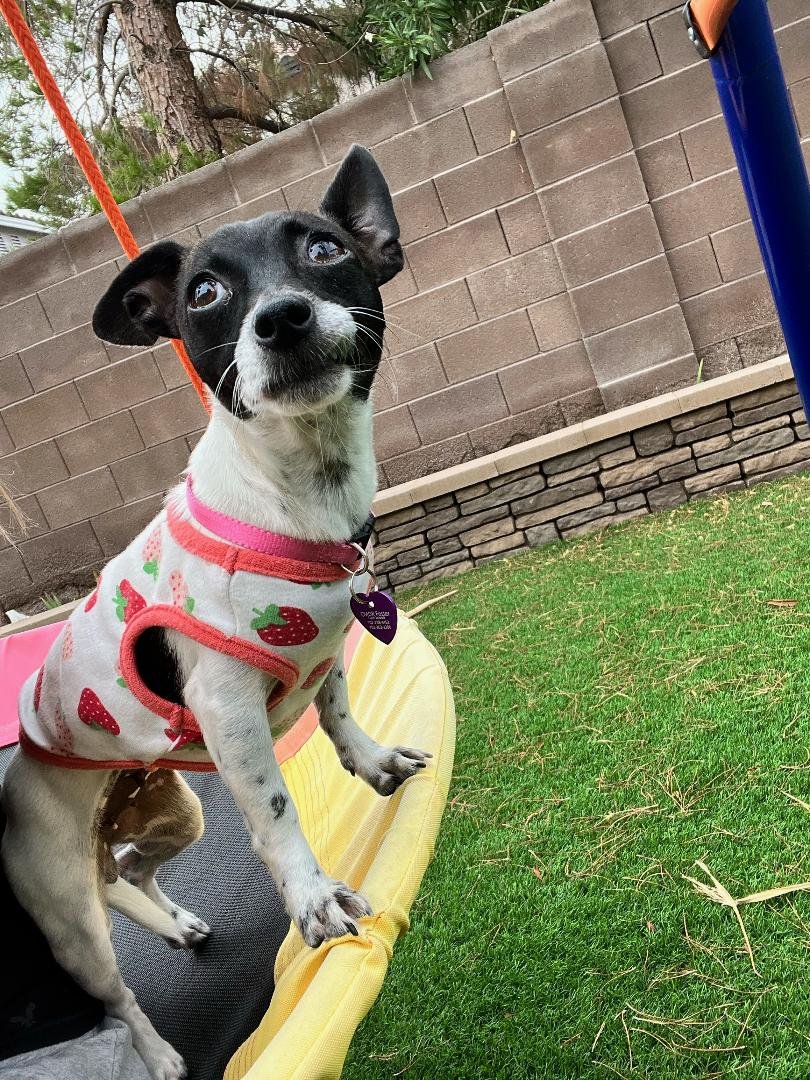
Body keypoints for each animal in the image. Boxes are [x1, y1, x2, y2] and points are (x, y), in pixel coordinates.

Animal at [0, 145, 432, 1080]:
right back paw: (159, 1054)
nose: (282, 318)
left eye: (324, 249)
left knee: (126, 868)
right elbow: (276, 816)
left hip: (174, 815)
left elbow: (337, 709)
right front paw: (314, 900)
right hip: (70, 921)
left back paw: (179, 923)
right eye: (203, 292)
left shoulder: (326, 649)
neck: (298, 495)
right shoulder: (230, 716)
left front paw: (372, 761)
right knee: (116, 996)